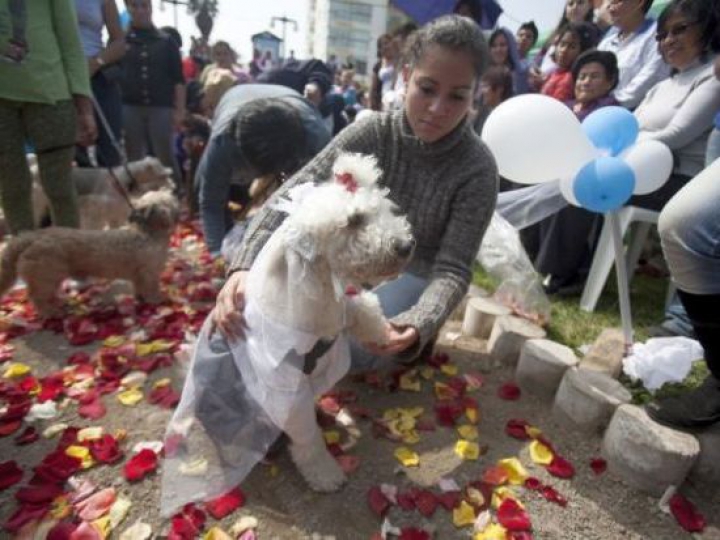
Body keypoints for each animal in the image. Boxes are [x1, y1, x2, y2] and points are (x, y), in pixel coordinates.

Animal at [161, 154, 414, 512]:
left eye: (383, 210)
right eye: (354, 220)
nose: (406, 245)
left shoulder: (332, 315)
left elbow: (360, 309)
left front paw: (382, 332)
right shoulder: (287, 390)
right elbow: (309, 440)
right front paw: (325, 475)